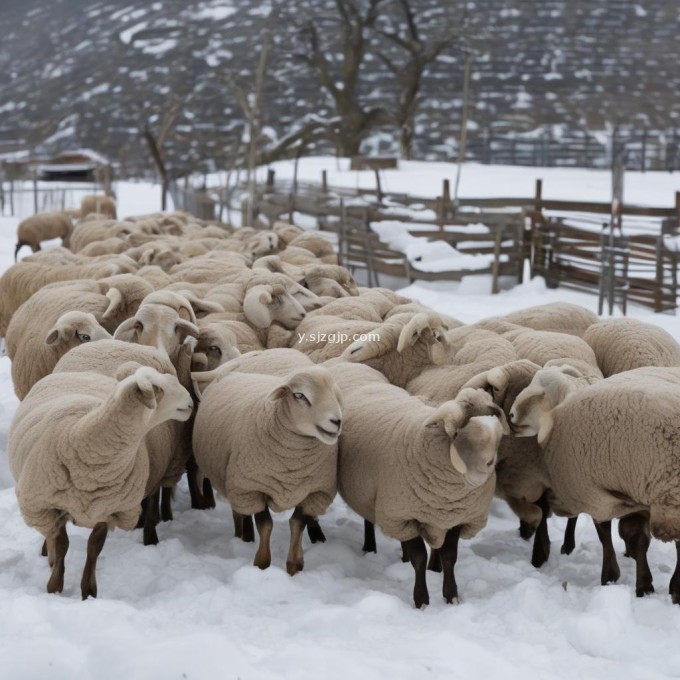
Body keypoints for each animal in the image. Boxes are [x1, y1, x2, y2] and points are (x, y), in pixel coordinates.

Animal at [7, 364, 193, 596]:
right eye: (158, 388)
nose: (190, 402)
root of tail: (81, 372)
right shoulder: (49, 505)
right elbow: (62, 544)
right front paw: (54, 587)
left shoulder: (109, 509)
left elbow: (94, 548)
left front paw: (88, 592)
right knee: (49, 534)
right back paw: (49, 557)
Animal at [193, 364, 346, 576]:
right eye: (299, 395)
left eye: (334, 394)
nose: (337, 421)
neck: (293, 465)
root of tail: (231, 372)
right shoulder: (253, 488)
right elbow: (266, 525)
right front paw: (262, 564)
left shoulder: (314, 494)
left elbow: (297, 524)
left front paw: (293, 567)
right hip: (235, 483)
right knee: (238, 512)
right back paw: (241, 536)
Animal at [338, 386, 508, 608]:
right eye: (457, 433)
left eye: (498, 437)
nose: (489, 465)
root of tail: (372, 386)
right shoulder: (404, 515)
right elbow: (419, 558)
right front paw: (422, 601)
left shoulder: (456, 517)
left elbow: (449, 556)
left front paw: (451, 596)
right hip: (370, 493)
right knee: (369, 518)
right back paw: (370, 548)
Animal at [512, 366, 680, 600]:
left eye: (541, 394)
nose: (510, 415)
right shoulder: (621, 493)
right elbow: (632, 537)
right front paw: (641, 584)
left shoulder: (600, 495)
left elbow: (609, 533)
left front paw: (613, 578)